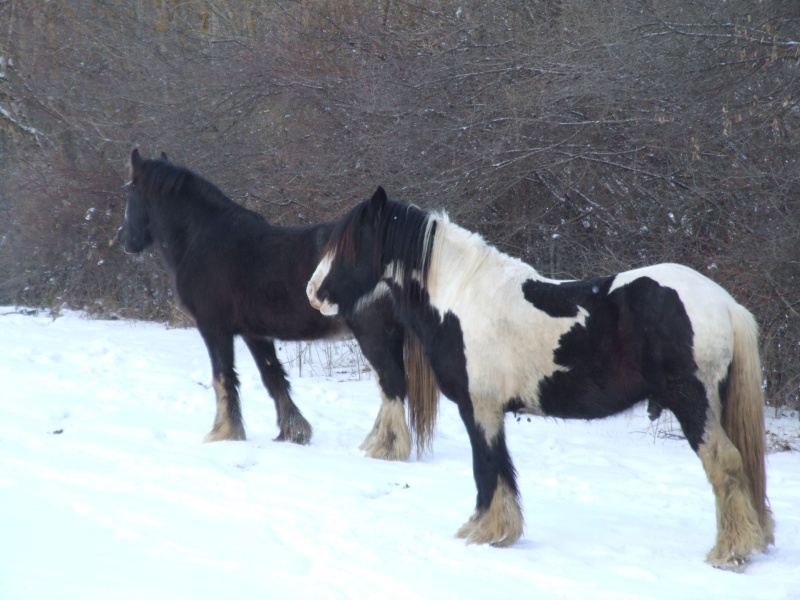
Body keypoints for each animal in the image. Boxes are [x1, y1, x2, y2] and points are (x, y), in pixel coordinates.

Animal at [117, 151, 438, 460]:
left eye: (130, 189)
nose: (123, 239)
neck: (204, 239)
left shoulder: (214, 328)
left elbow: (223, 377)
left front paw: (222, 433)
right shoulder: (255, 334)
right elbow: (273, 377)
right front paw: (293, 432)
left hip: (374, 335)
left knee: (391, 384)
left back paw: (388, 449)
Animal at [308, 186, 776, 568]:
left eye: (351, 245)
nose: (314, 294)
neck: (462, 298)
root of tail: (724, 302)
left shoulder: (479, 407)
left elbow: (488, 467)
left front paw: (487, 532)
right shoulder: (488, 409)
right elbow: (496, 469)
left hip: (694, 404)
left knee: (725, 463)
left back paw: (729, 551)